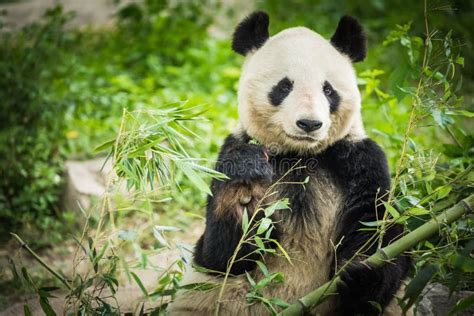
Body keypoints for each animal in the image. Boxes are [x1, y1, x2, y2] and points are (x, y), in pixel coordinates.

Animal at [168, 11, 412, 314]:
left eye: (328, 90)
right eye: (284, 86)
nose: (309, 123)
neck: (300, 156)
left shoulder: (359, 160)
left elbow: (377, 226)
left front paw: (362, 275)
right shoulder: (232, 150)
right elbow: (221, 257)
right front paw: (246, 192)